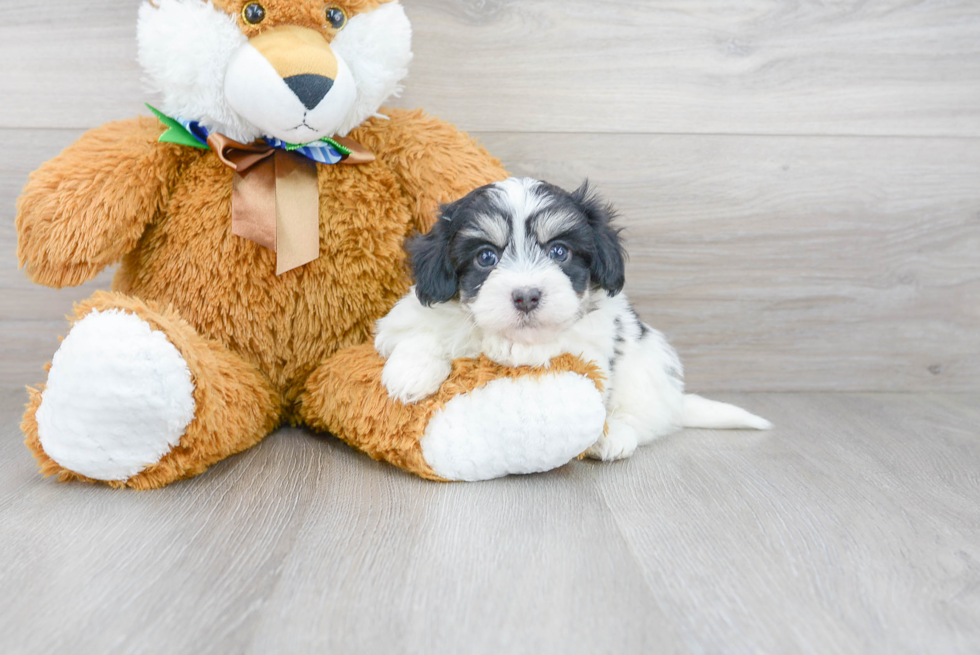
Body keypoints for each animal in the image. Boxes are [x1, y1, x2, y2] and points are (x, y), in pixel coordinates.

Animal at [372, 177, 768, 458]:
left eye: (559, 252)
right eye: (486, 257)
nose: (527, 296)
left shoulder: (593, 343)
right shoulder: (405, 319)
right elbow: (421, 331)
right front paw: (410, 373)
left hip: (646, 366)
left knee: (643, 415)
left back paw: (614, 436)